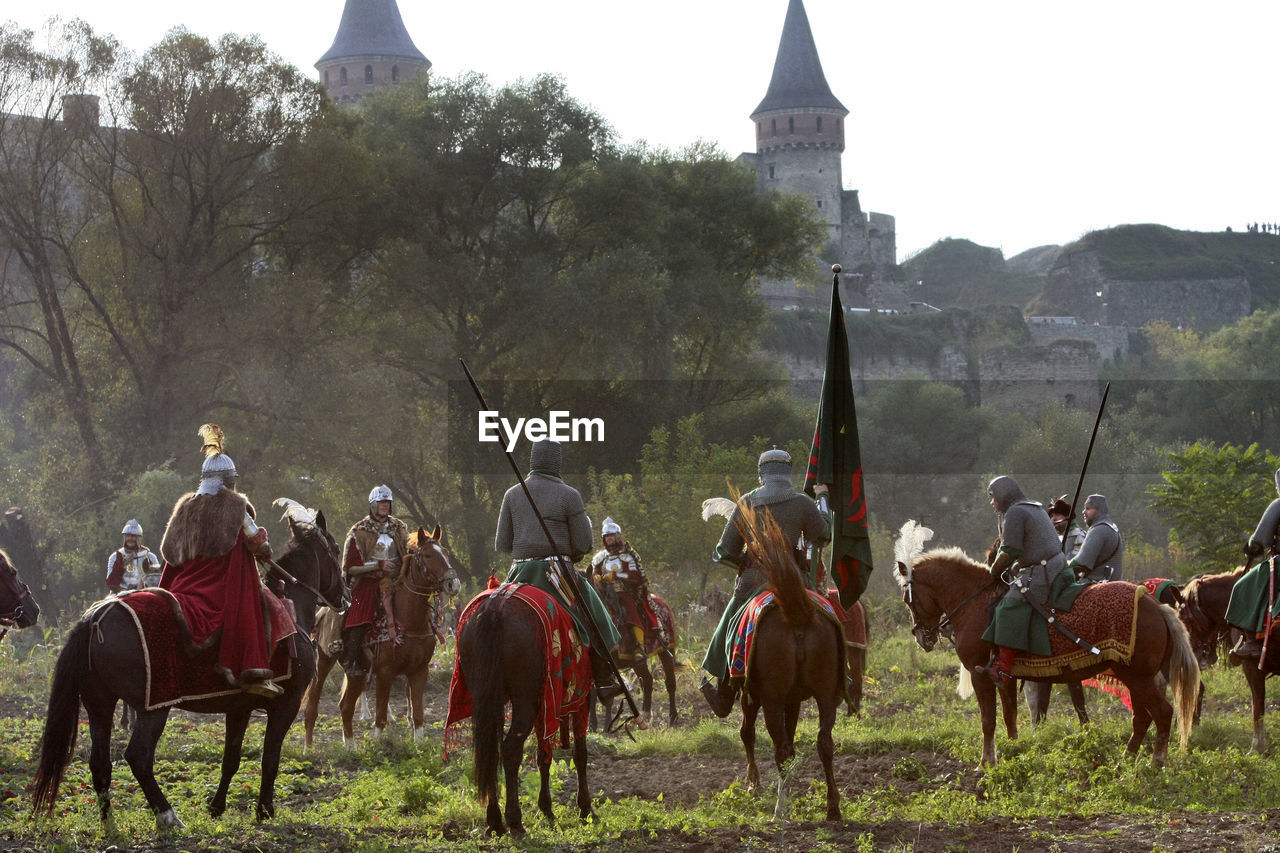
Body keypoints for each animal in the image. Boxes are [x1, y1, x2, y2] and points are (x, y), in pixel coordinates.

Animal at [33, 499, 345, 824]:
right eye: (335, 549)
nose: (345, 595)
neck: (292, 610)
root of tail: (96, 618)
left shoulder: (239, 707)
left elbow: (231, 759)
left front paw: (217, 807)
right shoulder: (286, 705)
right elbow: (270, 758)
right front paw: (264, 811)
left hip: (99, 704)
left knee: (100, 762)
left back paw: (108, 820)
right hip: (153, 707)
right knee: (138, 756)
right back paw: (168, 815)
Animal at [327, 522, 458, 742]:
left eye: (446, 552)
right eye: (428, 555)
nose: (453, 584)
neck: (410, 622)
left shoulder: (419, 670)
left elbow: (418, 713)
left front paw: (418, 743)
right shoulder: (385, 672)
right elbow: (380, 716)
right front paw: (378, 743)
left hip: (359, 674)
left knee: (346, 706)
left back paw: (350, 746)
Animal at [450, 581, 593, 835]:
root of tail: (495, 608)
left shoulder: (547, 707)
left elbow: (544, 755)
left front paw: (546, 809)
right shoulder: (580, 697)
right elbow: (579, 754)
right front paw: (584, 808)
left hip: (489, 697)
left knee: (490, 750)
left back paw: (495, 820)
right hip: (525, 699)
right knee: (510, 750)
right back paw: (514, 820)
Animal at [727, 499, 844, 819]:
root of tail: (797, 612)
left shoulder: (754, 695)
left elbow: (748, 734)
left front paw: (754, 783)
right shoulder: (794, 700)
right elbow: (793, 743)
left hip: (771, 698)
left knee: (777, 747)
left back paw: (780, 810)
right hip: (825, 693)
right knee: (824, 743)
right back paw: (832, 807)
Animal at [896, 522, 1203, 768]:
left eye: (908, 598)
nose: (922, 637)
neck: (976, 601)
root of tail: (1156, 606)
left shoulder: (980, 674)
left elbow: (988, 720)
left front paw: (986, 763)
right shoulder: (1005, 677)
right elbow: (1010, 716)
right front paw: (1015, 750)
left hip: (1138, 677)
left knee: (1162, 713)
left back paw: (1156, 762)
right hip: (1135, 677)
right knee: (1141, 717)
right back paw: (1126, 759)